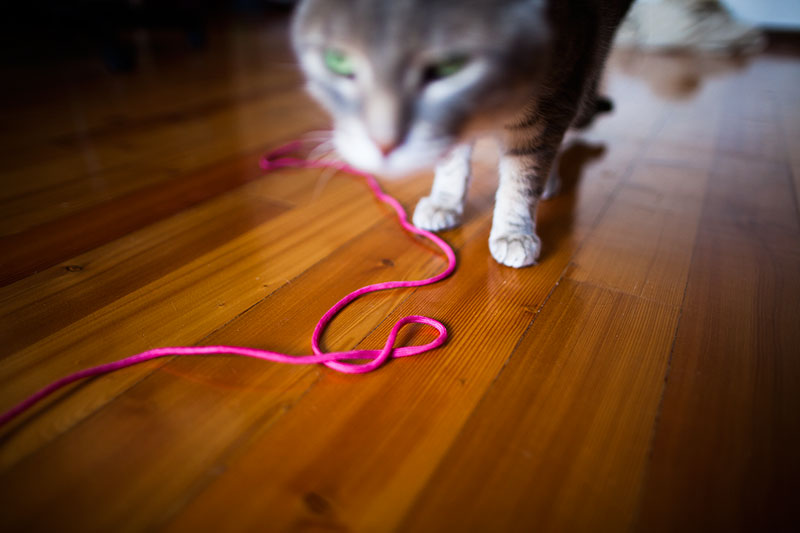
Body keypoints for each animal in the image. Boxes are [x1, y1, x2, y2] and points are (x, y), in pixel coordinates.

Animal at [290, 0, 636, 266]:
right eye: (337, 61)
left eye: (449, 65)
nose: (383, 144)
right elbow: (451, 161)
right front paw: (444, 203)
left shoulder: (553, 100)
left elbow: (522, 177)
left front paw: (514, 232)